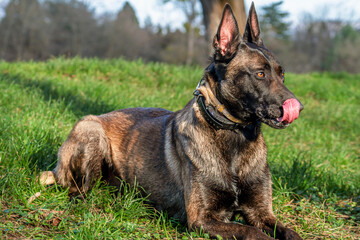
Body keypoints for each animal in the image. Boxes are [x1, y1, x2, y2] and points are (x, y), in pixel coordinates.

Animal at [39, 2, 304, 239]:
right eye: (259, 74)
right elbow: (251, 232)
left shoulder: (262, 214)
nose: (298, 107)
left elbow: (290, 232)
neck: (235, 138)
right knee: (78, 191)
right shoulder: (202, 219)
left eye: (282, 74)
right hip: (90, 129)